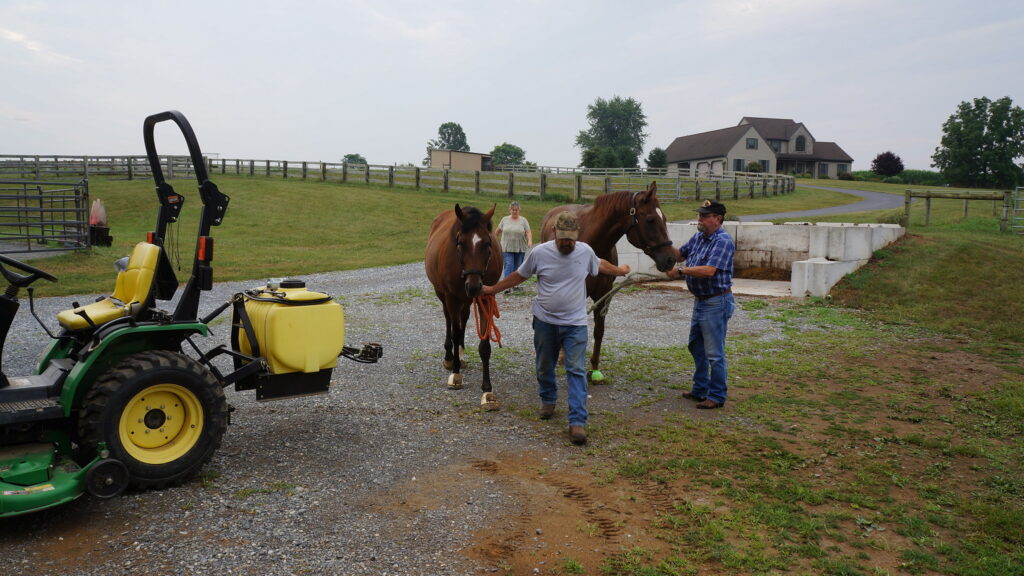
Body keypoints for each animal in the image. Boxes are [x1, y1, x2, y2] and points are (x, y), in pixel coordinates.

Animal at [423, 203, 503, 405]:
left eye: (487, 243)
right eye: (460, 243)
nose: (473, 286)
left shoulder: (485, 298)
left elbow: (484, 345)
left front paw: (487, 390)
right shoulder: (451, 297)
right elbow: (455, 332)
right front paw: (456, 375)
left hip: (467, 300)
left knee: (464, 318)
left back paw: (461, 352)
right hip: (443, 294)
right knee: (449, 321)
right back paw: (450, 357)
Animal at [540, 183, 675, 379]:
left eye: (664, 218)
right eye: (650, 219)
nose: (671, 259)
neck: (594, 246)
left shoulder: (604, 294)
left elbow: (599, 331)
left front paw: (595, 368)